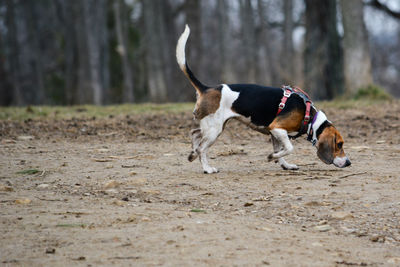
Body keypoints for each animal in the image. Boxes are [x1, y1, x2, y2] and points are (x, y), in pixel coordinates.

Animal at [177, 25, 352, 174]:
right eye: (339, 144)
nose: (349, 162)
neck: (309, 116)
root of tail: (207, 88)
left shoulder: (275, 134)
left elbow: (281, 151)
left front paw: (285, 165)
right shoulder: (277, 128)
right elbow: (289, 148)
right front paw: (271, 157)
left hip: (212, 125)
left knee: (195, 135)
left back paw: (192, 154)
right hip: (214, 129)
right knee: (202, 148)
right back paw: (207, 168)